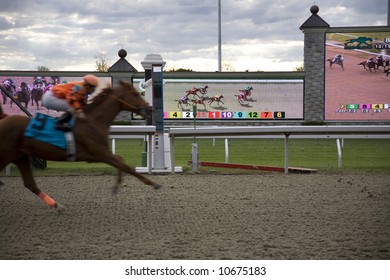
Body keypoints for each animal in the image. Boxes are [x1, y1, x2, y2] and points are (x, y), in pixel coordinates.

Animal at [0, 80, 161, 211]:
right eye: (135, 93)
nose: (149, 108)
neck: (94, 122)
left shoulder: (100, 154)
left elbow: (121, 161)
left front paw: (117, 186)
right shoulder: (100, 153)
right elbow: (126, 166)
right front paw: (153, 183)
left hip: (20, 156)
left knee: (30, 184)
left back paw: (58, 206)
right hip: (7, 155)